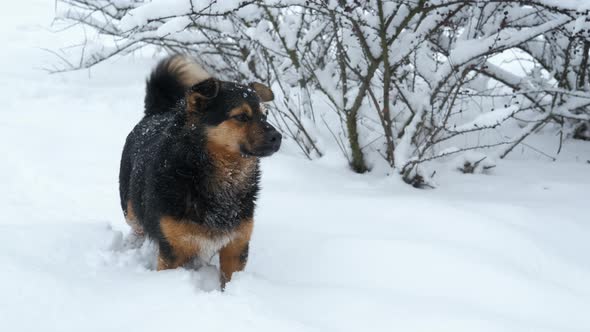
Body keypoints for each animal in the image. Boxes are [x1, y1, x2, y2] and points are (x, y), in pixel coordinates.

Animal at [119, 54, 282, 286]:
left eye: (265, 115)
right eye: (241, 117)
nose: (278, 137)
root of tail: (156, 113)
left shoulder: (236, 246)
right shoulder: (173, 250)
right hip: (131, 208)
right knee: (136, 229)